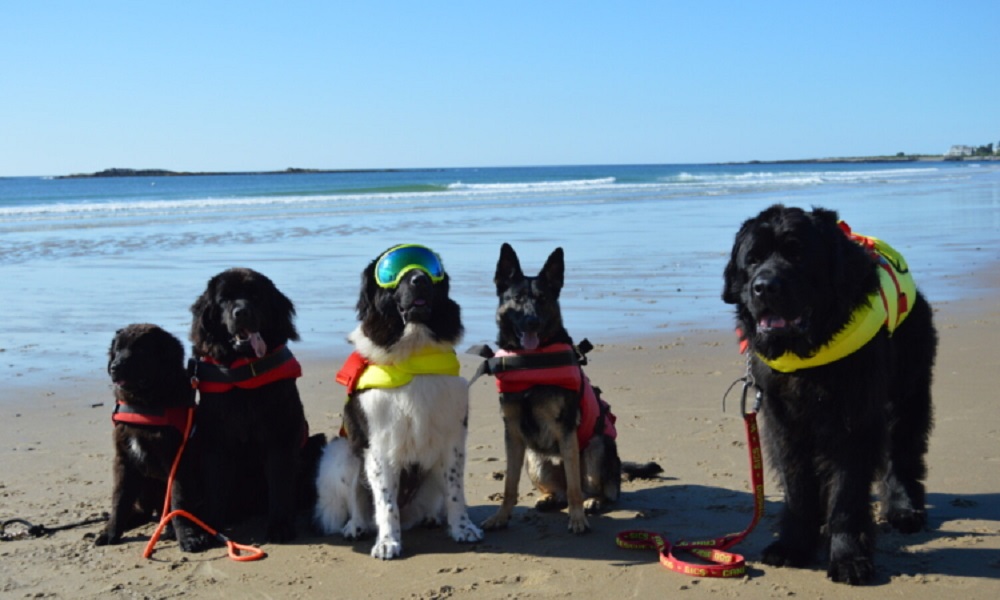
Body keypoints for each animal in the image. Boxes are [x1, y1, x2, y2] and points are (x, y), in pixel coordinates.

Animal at [96, 326, 211, 552]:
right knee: (145, 512)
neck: (146, 406)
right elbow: (119, 500)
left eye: (140, 350)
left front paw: (188, 537)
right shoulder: (124, 460)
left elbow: (178, 502)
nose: (114, 367)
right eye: (117, 349)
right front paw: (111, 532)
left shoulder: (178, 461)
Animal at [189, 268, 322, 544]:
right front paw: (211, 526)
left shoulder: (281, 435)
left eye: (256, 296)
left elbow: (280, 483)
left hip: (314, 442)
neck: (245, 371)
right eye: (224, 300)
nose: (242, 312)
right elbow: (215, 485)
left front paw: (280, 526)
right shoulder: (215, 440)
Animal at [314, 243, 482, 556]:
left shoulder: (453, 437)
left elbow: (455, 491)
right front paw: (388, 542)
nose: (420, 279)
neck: (413, 354)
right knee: (357, 501)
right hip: (341, 452)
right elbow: (385, 502)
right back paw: (356, 526)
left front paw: (463, 528)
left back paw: (430, 517)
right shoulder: (379, 444)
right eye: (391, 271)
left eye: (432, 268)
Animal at [478, 244, 660, 536]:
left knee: (594, 490)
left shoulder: (565, 430)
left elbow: (575, 486)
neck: (531, 362)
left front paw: (577, 520)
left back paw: (592, 502)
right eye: (517, 298)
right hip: (535, 458)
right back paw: (549, 498)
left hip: (597, 448)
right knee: (561, 491)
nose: (531, 321)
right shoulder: (513, 433)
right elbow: (509, 485)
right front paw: (501, 517)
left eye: (542, 300)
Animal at [724, 204, 932, 584]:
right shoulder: (783, 423)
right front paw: (794, 545)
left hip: (908, 387)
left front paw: (848, 556)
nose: (764, 287)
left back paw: (904, 508)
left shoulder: (855, 422)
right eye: (753, 259)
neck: (809, 354)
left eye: (798, 256)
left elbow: (846, 494)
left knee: (903, 449)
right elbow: (797, 487)